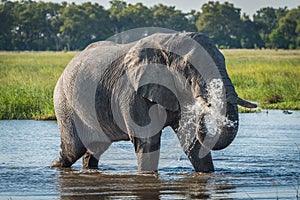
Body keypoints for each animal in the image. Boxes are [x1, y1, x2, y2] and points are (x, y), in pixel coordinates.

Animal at [51, 32, 255, 173]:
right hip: (64, 102)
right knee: (73, 149)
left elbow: (193, 144)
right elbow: (147, 141)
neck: (167, 45)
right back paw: (54, 167)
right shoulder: (133, 94)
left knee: (95, 147)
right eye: (190, 68)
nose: (202, 107)